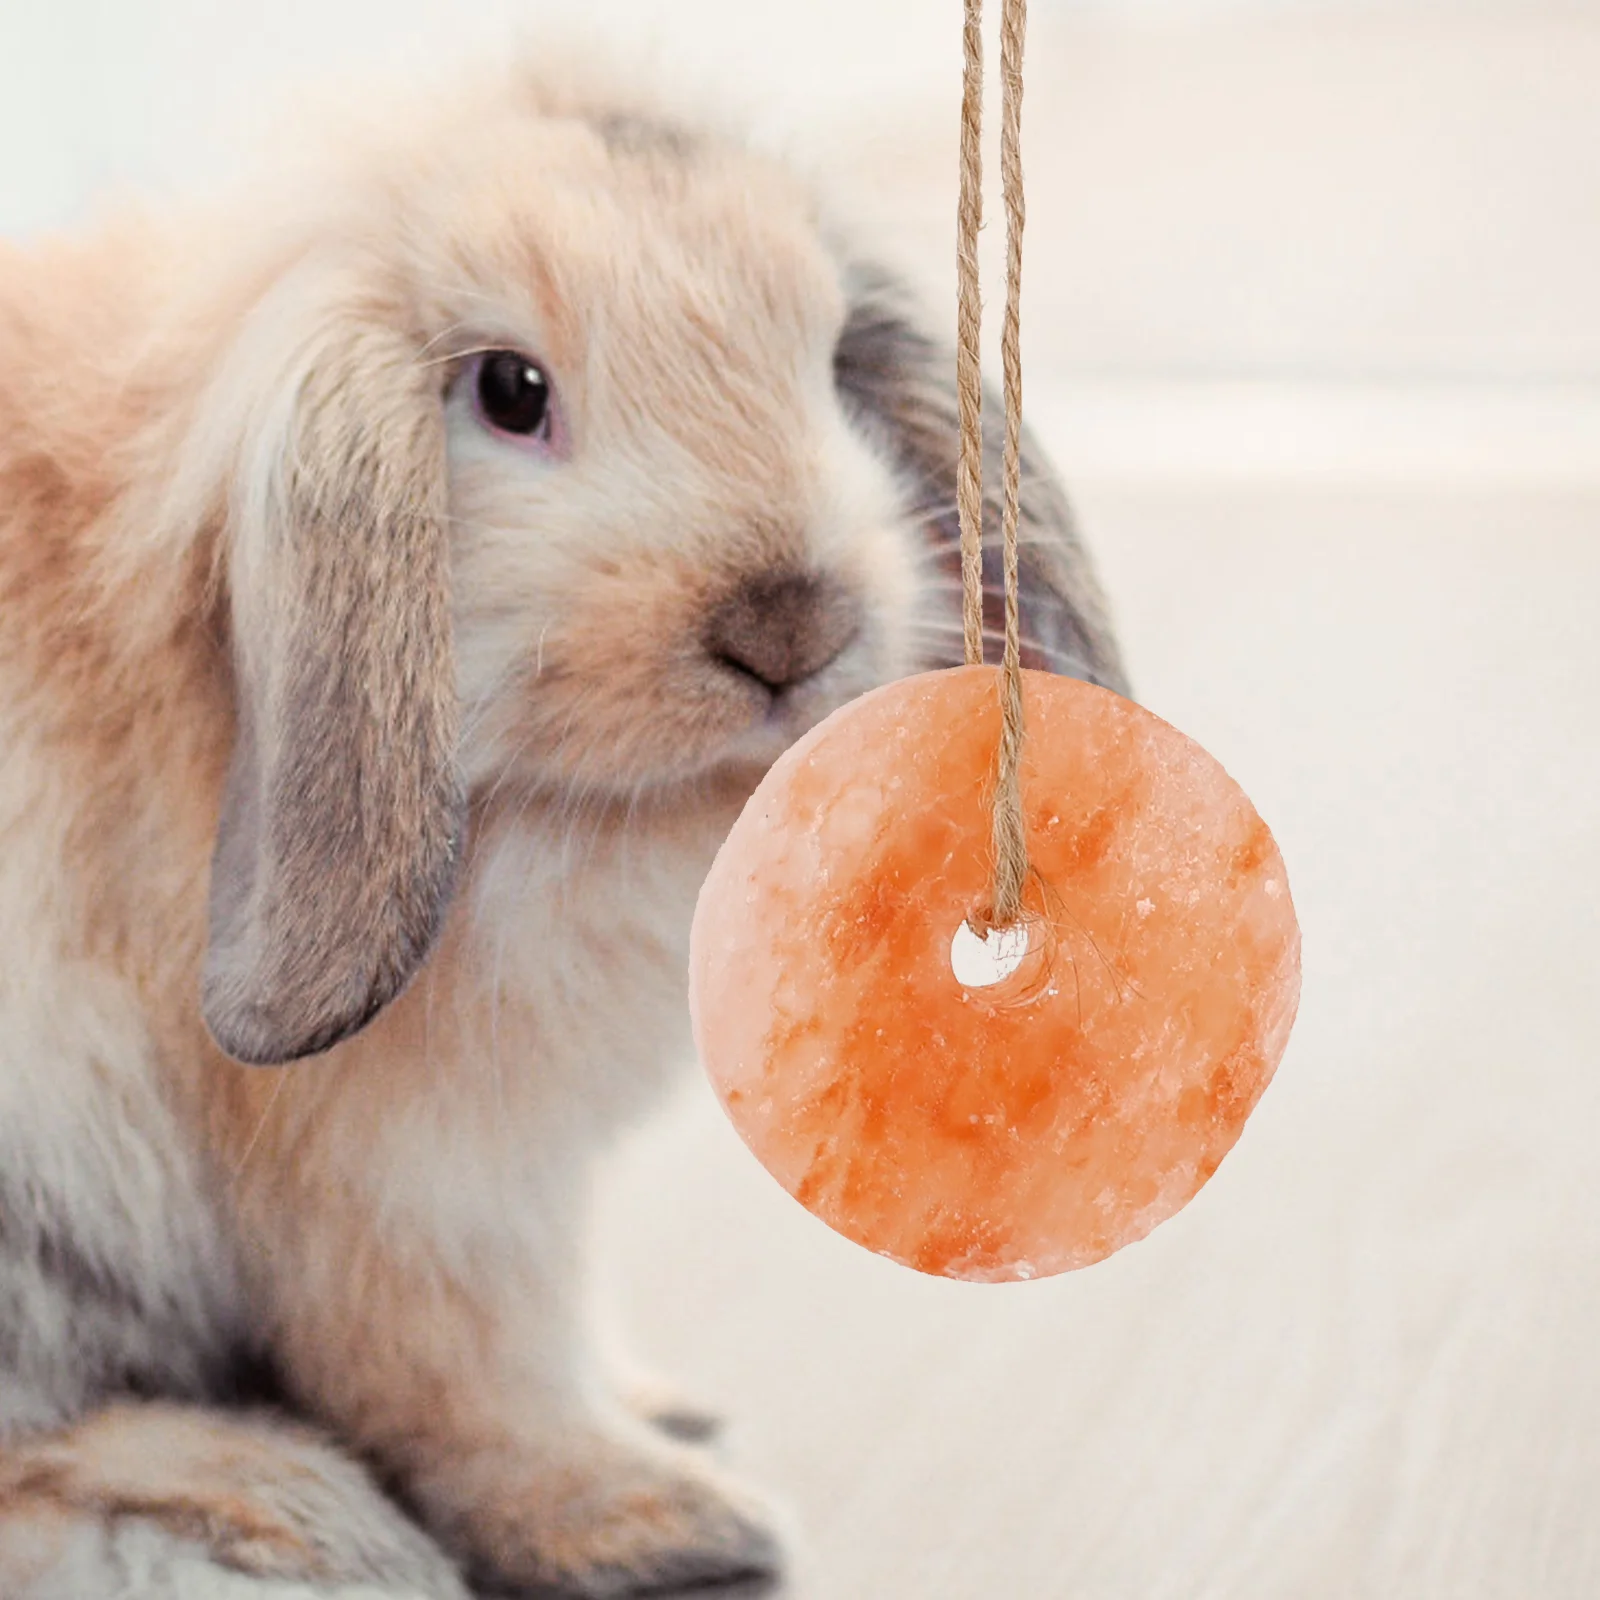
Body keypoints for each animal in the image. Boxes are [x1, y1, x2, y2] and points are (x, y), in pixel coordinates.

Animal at [0, 43, 1126, 1593]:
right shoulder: (415, 1190)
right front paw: (658, 1517)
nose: (792, 624)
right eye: (510, 390)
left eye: (833, 355)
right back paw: (271, 1508)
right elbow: (476, 1379)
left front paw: (661, 1415)